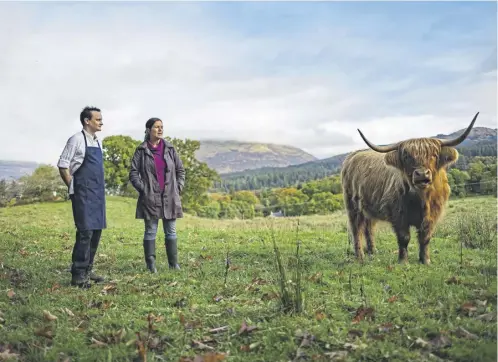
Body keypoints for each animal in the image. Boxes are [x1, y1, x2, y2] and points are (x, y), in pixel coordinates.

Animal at [340, 111, 476, 264]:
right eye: (406, 156)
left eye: (434, 155)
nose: (421, 174)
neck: (421, 198)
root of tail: (353, 154)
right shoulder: (398, 214)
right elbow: (404, 238)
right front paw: (403, 261)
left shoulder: (433, 214)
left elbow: (425, 237)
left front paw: (425, 260)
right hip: (352, 206)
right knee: (356, 229)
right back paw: (360, 257)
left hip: (368, 207)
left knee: (369, 228)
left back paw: (373, 251)